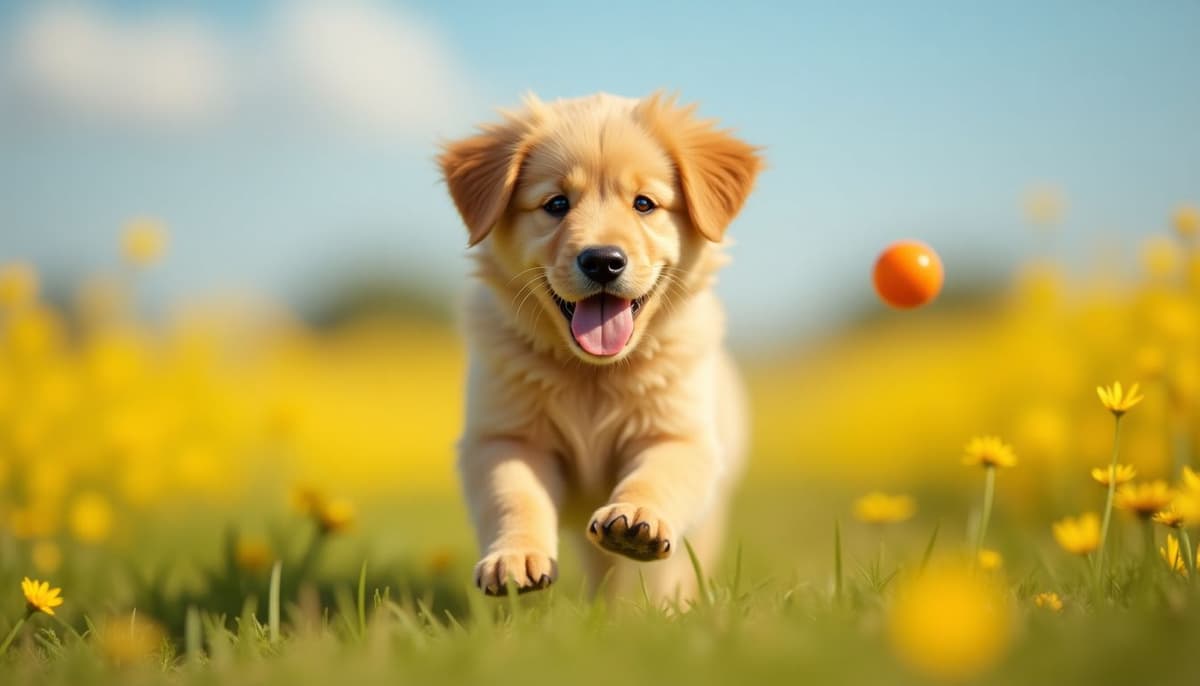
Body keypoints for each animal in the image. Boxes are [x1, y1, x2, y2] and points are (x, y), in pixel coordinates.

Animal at [439, 92, 758, 599]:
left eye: (644, 204)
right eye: (556, 203)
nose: (603, 261)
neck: (593, 372)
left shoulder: (679, 434)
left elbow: (659, 476)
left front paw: (638, 518)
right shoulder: (505, 436)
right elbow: (515, 495)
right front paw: (514, 557)